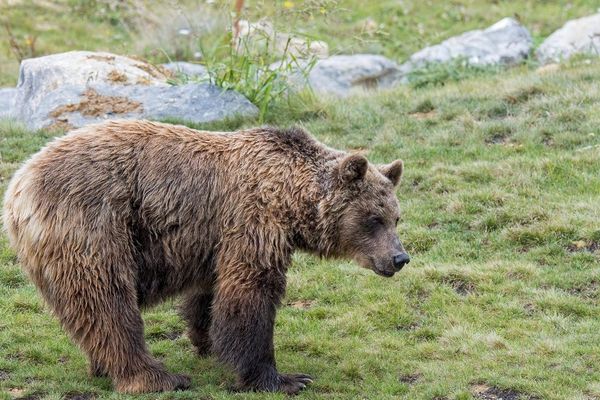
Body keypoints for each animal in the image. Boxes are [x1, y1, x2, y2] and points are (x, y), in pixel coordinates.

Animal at [3, 119, 408, 394]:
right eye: (373, 219)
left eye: (396, 216)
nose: (399, 258)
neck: (290, 201)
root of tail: (19, 186)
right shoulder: (252, 221)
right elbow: (251, 295)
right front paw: (283, 377)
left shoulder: (214, 239)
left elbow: (210, 294)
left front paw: (208, 341)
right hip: (95, 225)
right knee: (109, 302)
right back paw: (156, 376)